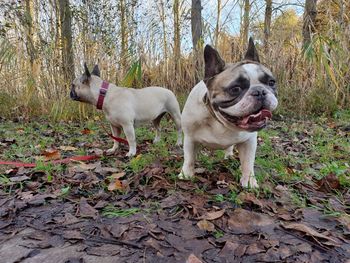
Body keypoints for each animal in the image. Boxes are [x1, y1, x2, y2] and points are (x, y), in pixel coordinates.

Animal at [179, 38, 278, 189]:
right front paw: (186, 175)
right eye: (235, 89)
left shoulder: (249, 142)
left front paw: (249, 181)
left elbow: (248, 163)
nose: (260, 91)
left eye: (271, 82)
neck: (220, 122)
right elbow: (189, 158)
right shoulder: (190, 138)